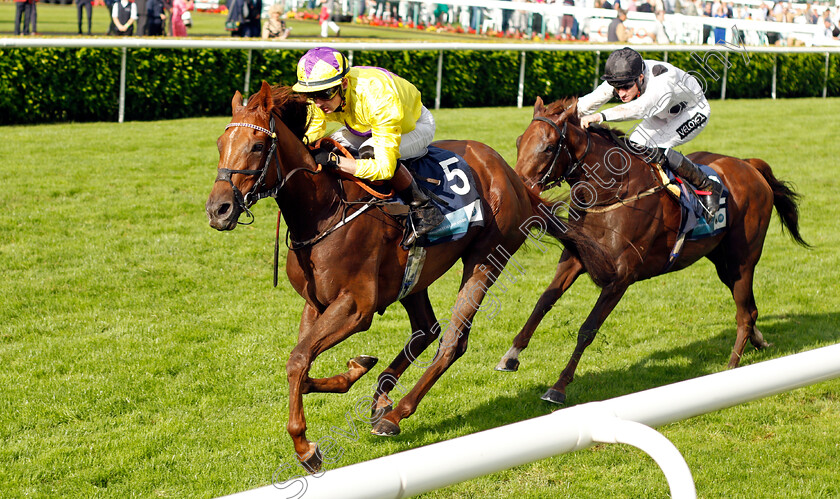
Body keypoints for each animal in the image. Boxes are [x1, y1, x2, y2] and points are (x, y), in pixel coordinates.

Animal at [203, 84, 612, 470]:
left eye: (258, 146)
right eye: (221, 144)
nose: (218, 209)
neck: (325, 210)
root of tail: (513, 177)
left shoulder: (357, 307)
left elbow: (299, 359)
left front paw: (306, 448)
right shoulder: (315, 302)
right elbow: (300, 367)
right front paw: (356, 368)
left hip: (485, 259)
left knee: (451, 342)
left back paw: (396, 414)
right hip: (415, 275)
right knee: (427, 329)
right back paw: (382, 396)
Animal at [496, 97, 812, 406]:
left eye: (549, 147)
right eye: (519, 142)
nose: (520, 189)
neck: (612, 193)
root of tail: (749, 165)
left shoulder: (621, 278)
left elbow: (588, 328)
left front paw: (558, 387)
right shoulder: (575, 259)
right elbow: (543, 302)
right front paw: (511, 355)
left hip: (742, 259)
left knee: (744, 314)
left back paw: (731, 368)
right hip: (722, 261)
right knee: (750, 308)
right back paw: (759, 342)